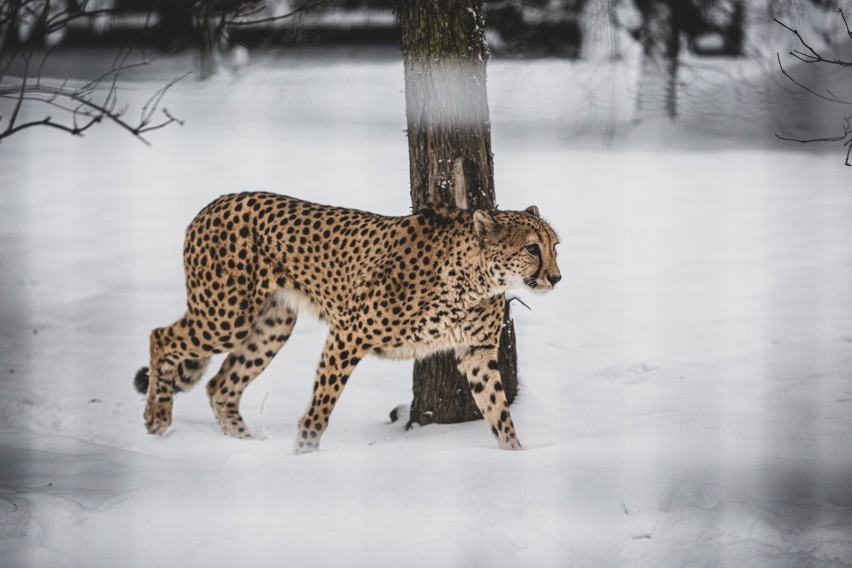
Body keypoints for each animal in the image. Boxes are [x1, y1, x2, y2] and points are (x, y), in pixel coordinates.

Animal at [136, 193, 564, 454]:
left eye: (554, 247)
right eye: (531, 248)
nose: (557, 278)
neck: (475, 281)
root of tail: (214, 203)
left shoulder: (476, 353)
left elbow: (499, 413)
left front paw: (516, 456)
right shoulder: (347, 334)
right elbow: (321, 407)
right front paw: (303, 454)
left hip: (273, 324)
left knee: (220, 386)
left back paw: (246, 445)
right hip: (226, 315)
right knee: (161, 336)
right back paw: (157, 417)